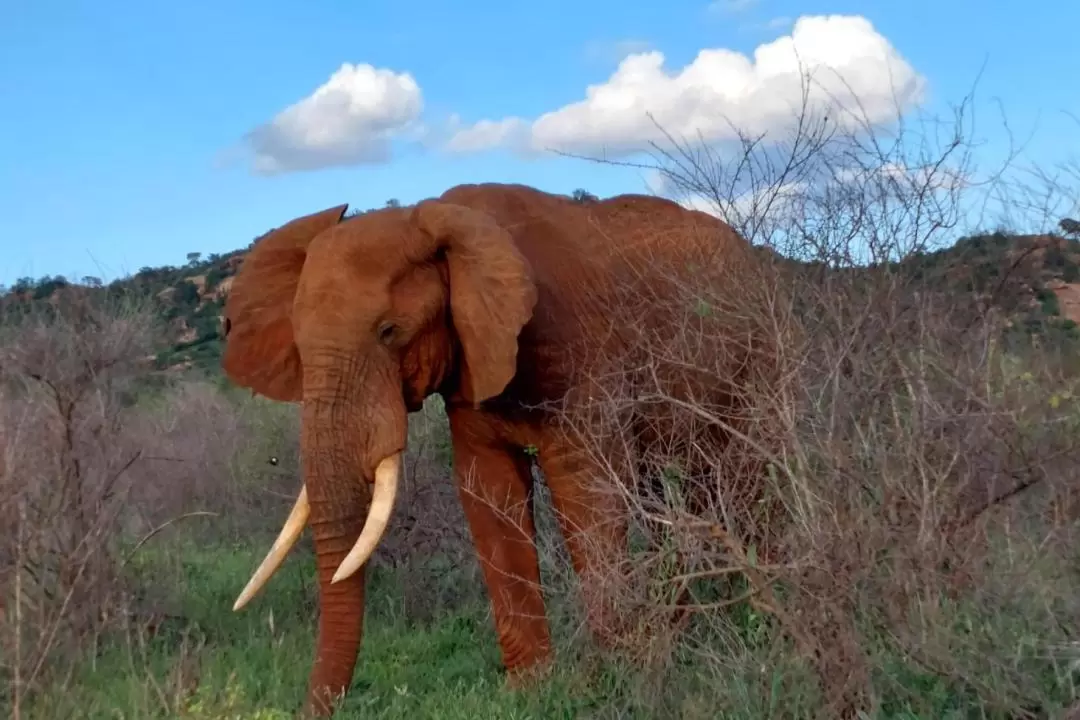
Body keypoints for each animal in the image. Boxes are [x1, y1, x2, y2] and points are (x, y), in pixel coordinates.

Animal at [221, 181, 777, 716]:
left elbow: (586, 494)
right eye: (298, 345)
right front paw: (532, 691)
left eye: (389, 331)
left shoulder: (582, 356)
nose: (309, 710)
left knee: (744, 485)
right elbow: (489, 494)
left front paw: (609, 682)